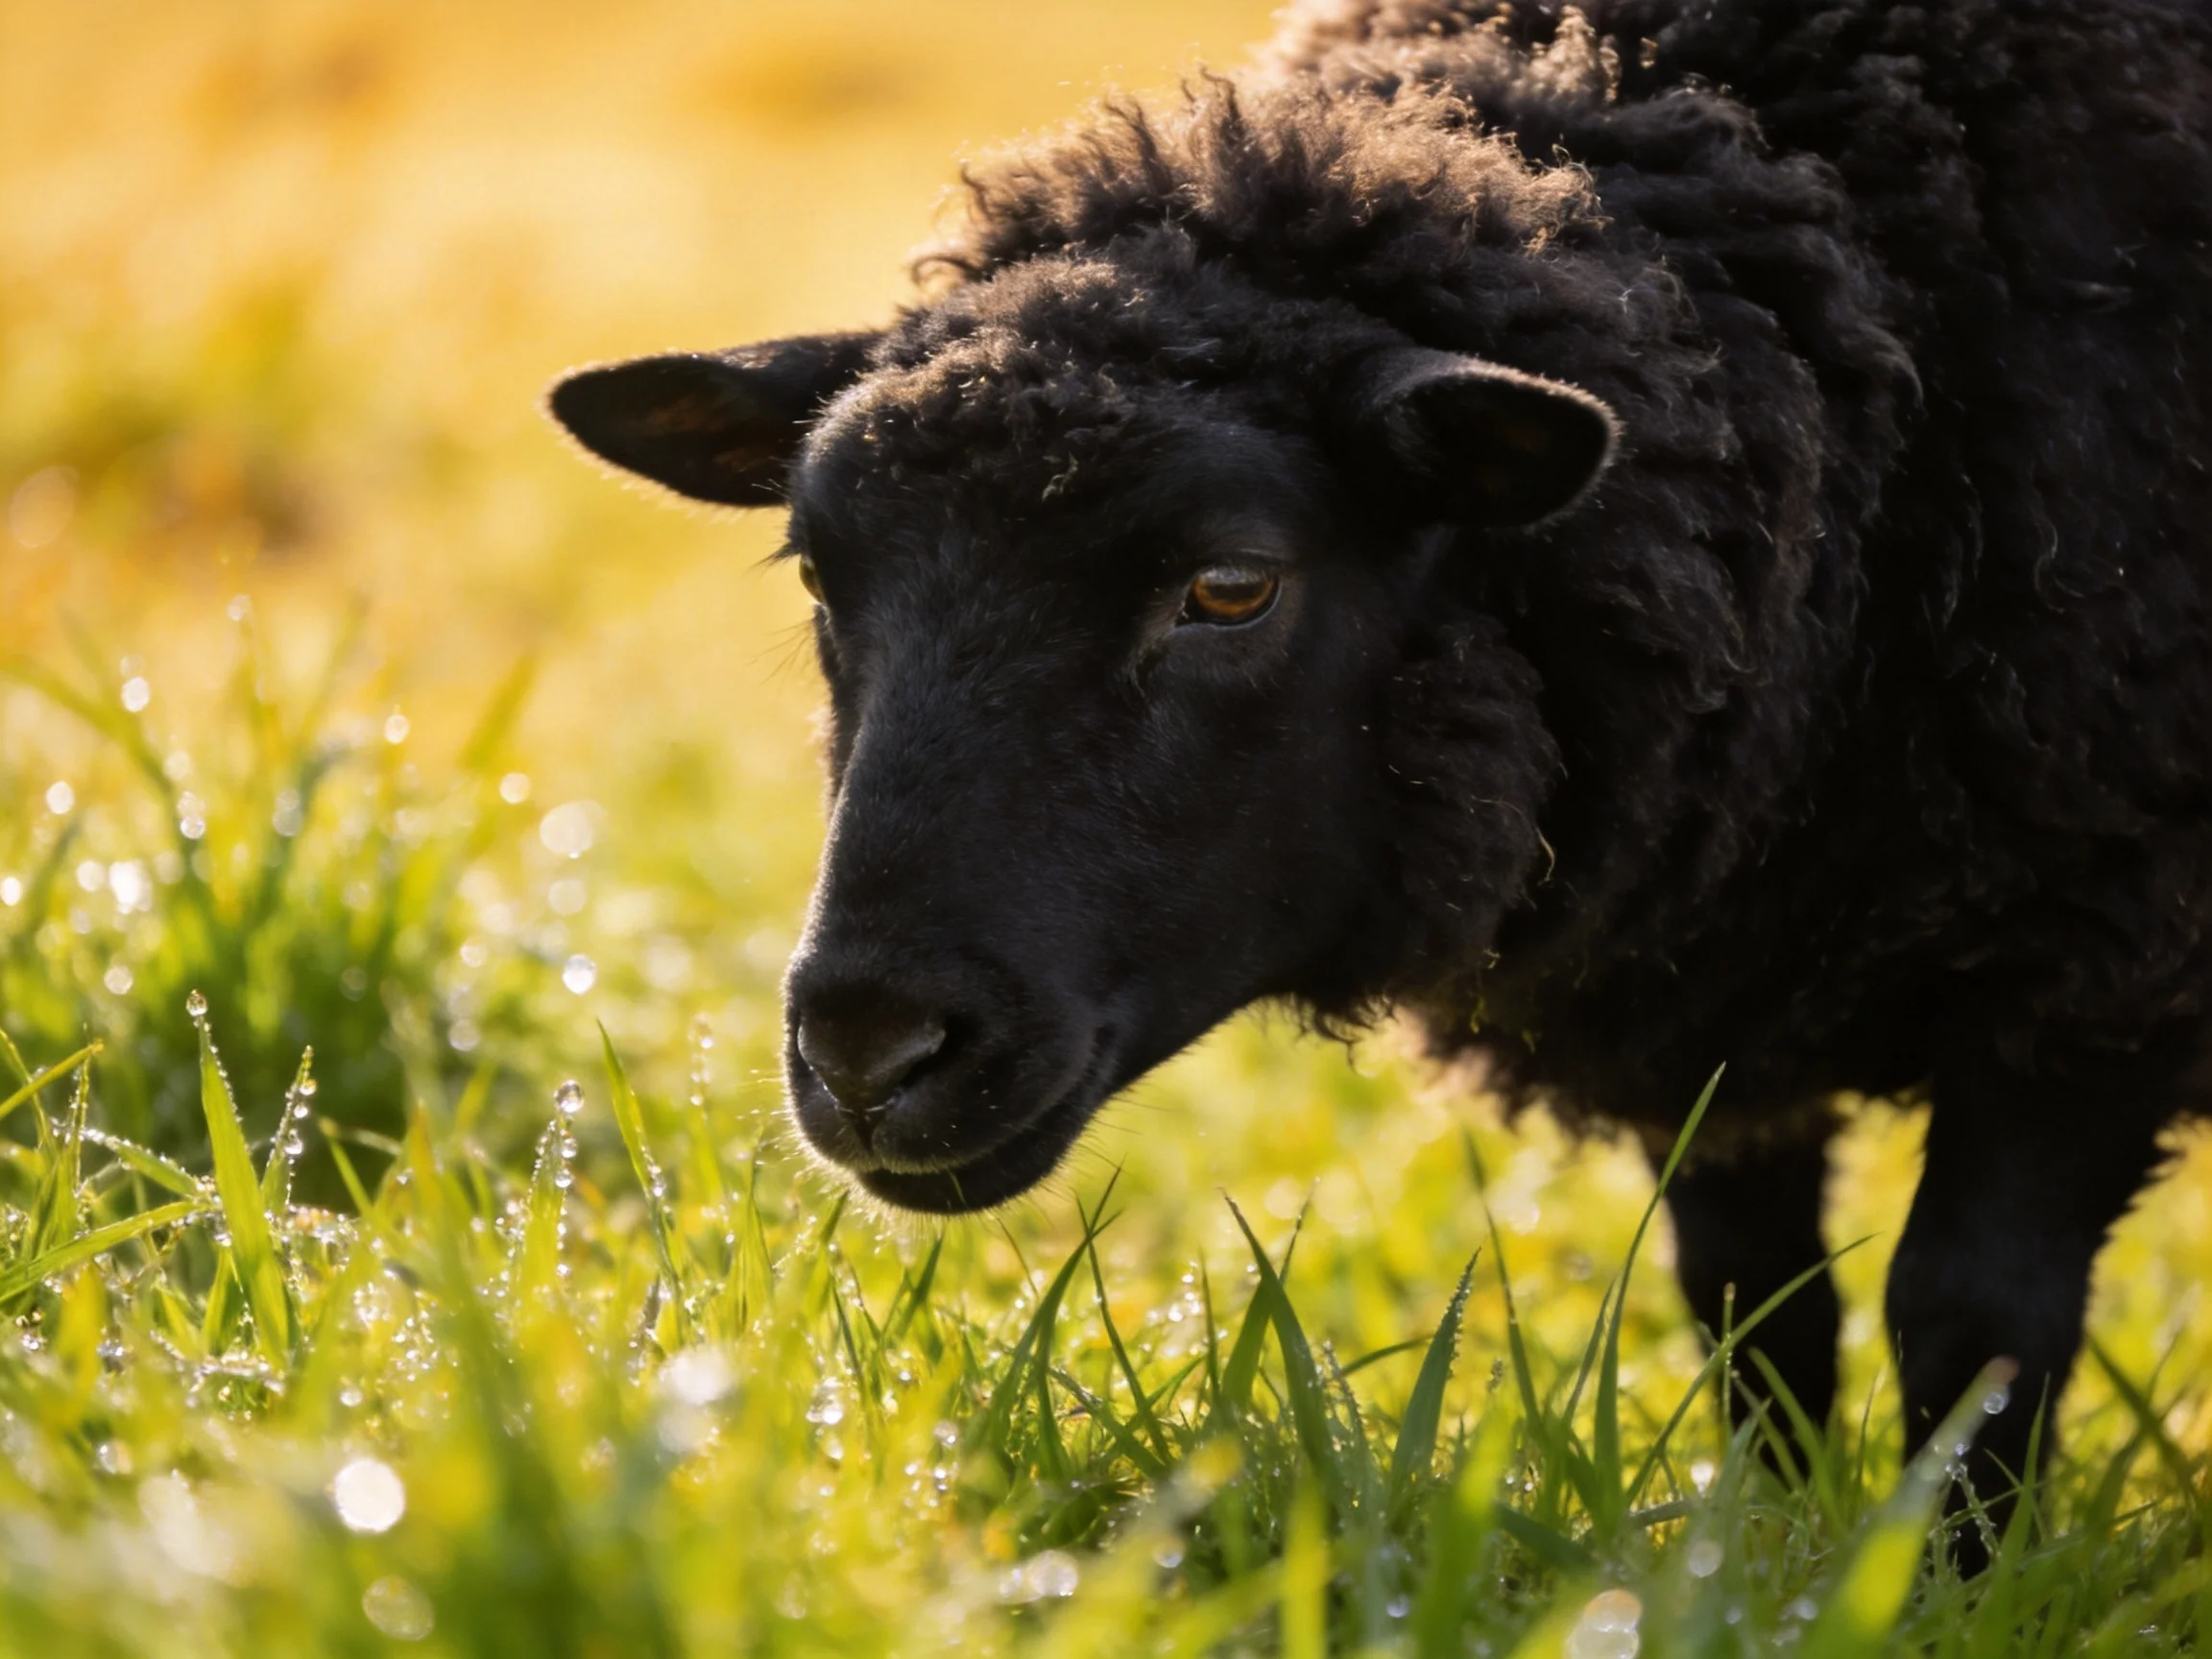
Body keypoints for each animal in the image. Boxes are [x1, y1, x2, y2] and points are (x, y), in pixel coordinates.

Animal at [551, 0, 2212, 1554]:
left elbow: (1971, 1321)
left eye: (1231, 587)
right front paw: (1774, 1557)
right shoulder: (1710, 990)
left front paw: (1955, 1579)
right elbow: (1756, 1305)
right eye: (818, 575)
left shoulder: (2099, 963)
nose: (869, 1052)